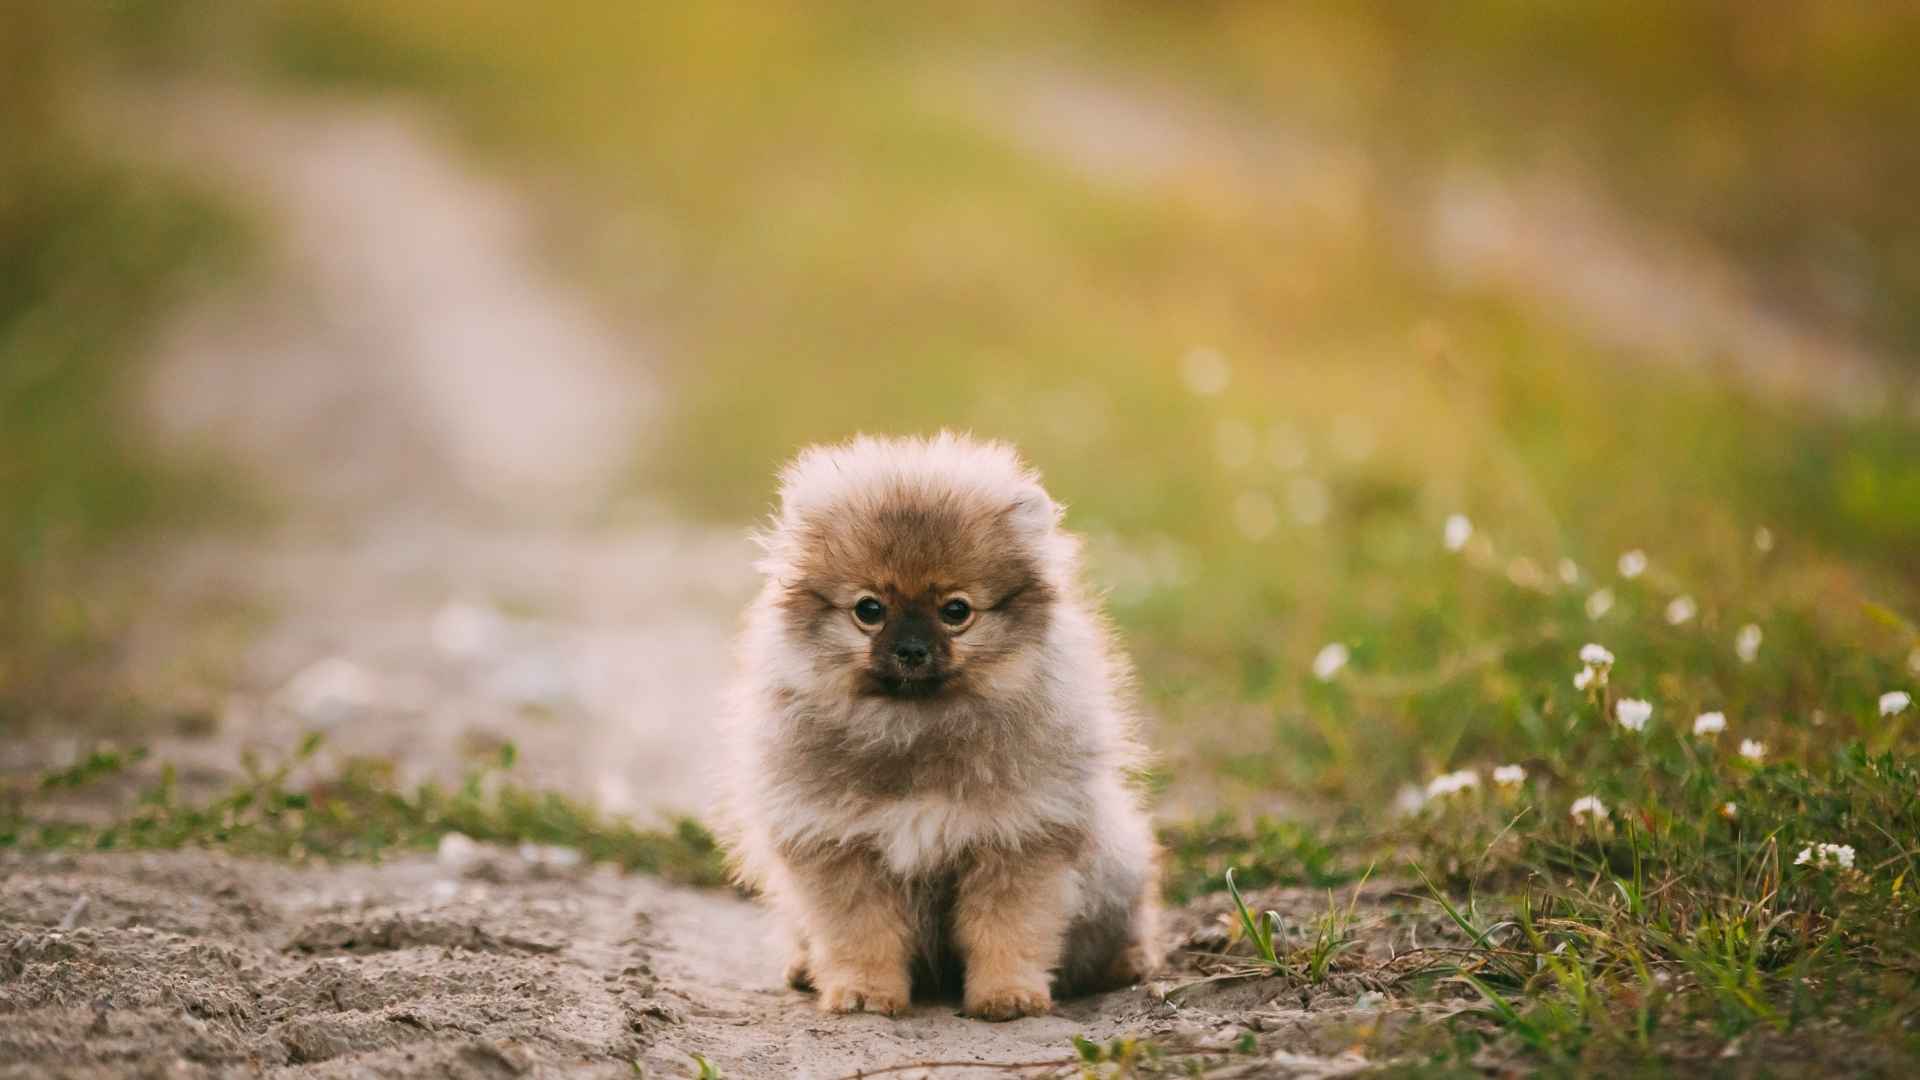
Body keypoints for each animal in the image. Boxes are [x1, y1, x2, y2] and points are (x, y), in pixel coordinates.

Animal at [721, 430, 1159, 1014]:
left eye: (956, 611)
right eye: (869, 609)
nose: (910, 649)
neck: (915, 726)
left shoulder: (1018, 839)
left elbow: (1007, 928)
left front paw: (1008, 994)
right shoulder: (840, 846)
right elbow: (862, 933)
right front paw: (863, 991)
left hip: (1119, 865)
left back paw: (1125, 966)